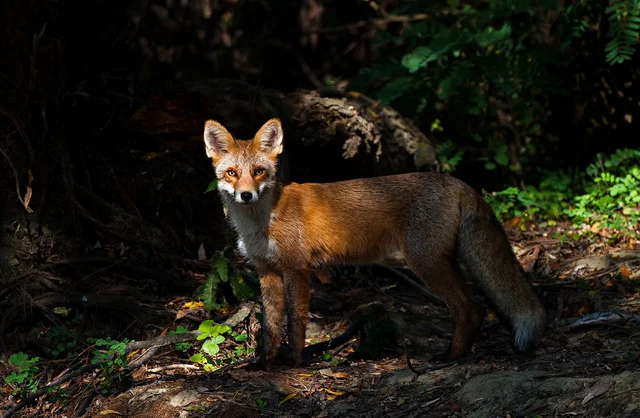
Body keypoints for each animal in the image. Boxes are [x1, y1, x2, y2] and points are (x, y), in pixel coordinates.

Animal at [203, 118, 546, 368]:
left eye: (259, 171)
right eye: (232, 173)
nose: (246, 195)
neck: (261, 221)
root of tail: (459, 182)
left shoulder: (298, 269)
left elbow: (295, 322)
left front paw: (294, 363)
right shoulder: (267, 271)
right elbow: (271, 326)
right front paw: (265, 363)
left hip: (426, 263)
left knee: (470, 307)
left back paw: (450, 357)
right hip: (441, 261)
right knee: (477, 307)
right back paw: (458, 354)